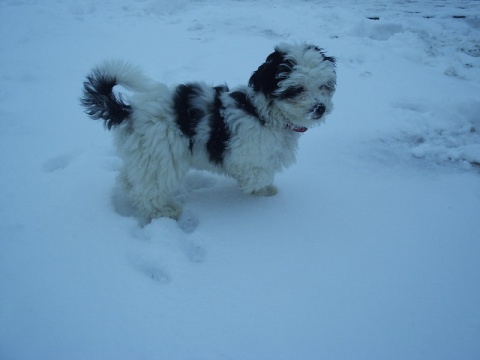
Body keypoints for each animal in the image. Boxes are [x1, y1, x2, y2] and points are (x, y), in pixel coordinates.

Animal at [81, 44, 338, 221]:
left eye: (325, 86)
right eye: (297, 89)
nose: (320, 108)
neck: (264, 113)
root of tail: (131, 111)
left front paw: (266, 190)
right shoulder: (247, 155)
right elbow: (257, 173)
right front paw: (260, 189)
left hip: (145, 155)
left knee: (131, 179)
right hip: (161, 156)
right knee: (149, 190)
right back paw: (164, 210)